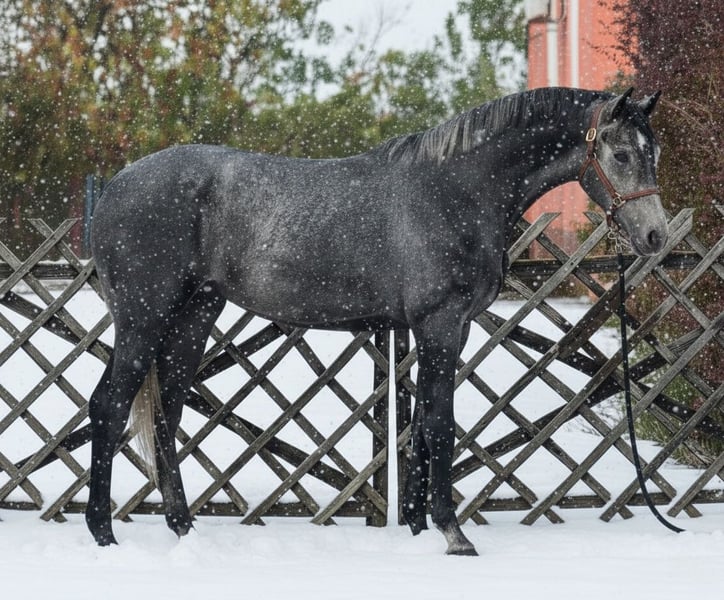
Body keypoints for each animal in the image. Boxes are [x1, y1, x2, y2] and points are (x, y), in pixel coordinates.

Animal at [86, 87, 667, 555]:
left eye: (654, 153)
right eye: (620, 153)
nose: (655, 236)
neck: (455, 188)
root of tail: (113, 187)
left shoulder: (450, 329)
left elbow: (422, 423)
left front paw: (416, 527)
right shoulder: (439, 324)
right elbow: (440, 423)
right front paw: (453, 534)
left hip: (194, 315)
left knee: (167, 411)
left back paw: (182, 527)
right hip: (143, 320)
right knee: (110, 406)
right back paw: (103, 533)